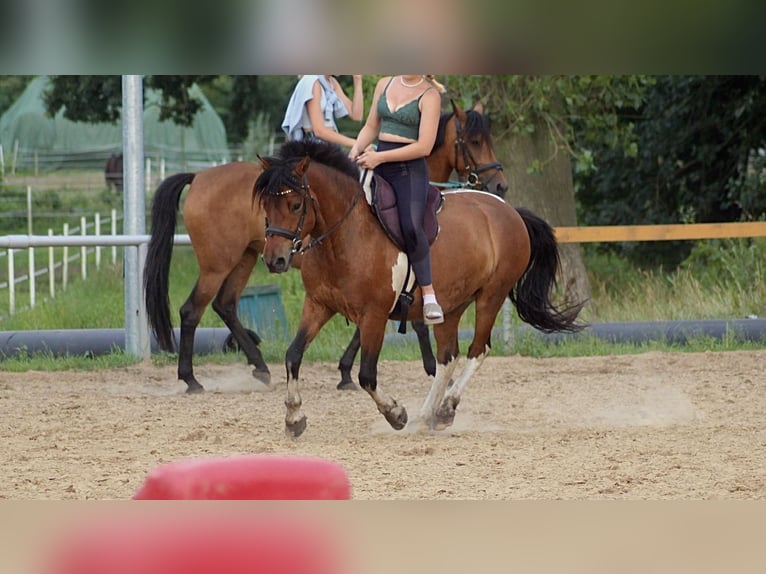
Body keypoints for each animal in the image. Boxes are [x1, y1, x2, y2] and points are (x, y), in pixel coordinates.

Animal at [144, 100, 510, 396]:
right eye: (475, 142)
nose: (500, 185)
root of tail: (199, 176)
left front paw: (346, 371)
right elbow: (411, 322)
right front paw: (431, 368)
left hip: (246, 257)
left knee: (225, 305)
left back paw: (259, 368)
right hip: (217, 263)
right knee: (192, 310)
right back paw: (191, 379)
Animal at [255, 142, 584, 438]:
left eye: (295, 205)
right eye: (266, 205)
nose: (275, 259)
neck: (345, 235)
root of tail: (509, 211)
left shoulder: (373, 316)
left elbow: (367, 375)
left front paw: (395, 414)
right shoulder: (318, 304)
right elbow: (293, 355)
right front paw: (294, 418)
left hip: (492, 295)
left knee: (477, 350)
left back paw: (445, 409)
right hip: (452, 305)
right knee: (447, 357)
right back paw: (427, 415)